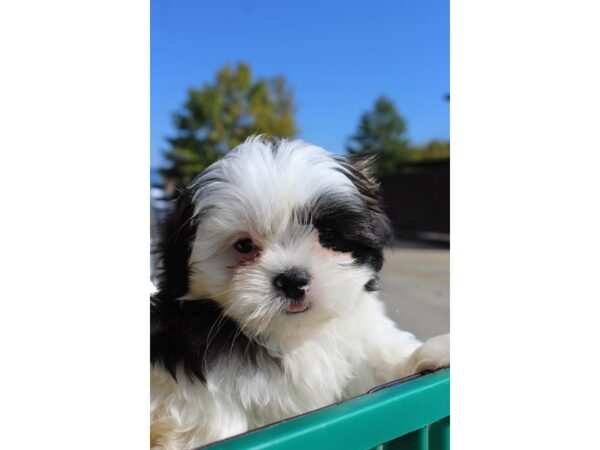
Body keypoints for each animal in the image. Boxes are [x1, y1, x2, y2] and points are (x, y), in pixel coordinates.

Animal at [151, 138, 450, 450]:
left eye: (328, 236)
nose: (293, 280)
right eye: (244, 245)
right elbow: (210, 417)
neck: (294, 333)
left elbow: (380, 360)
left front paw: (428, 354)